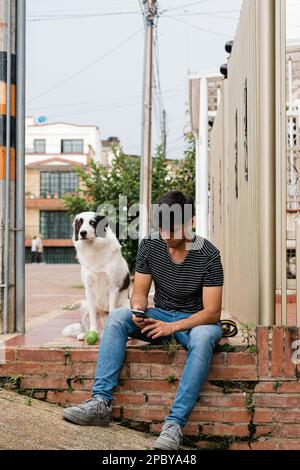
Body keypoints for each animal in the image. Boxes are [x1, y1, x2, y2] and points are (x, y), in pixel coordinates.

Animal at [62, 211, 129, 340]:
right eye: (80, 223)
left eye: (92, 223)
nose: (82, 233)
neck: (93, 247)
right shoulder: (89, 289)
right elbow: (93, 318)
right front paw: (92, 332)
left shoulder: (112, 288)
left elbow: (112, 311)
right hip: (86, 308)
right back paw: (86, 334)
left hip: (126, 305)